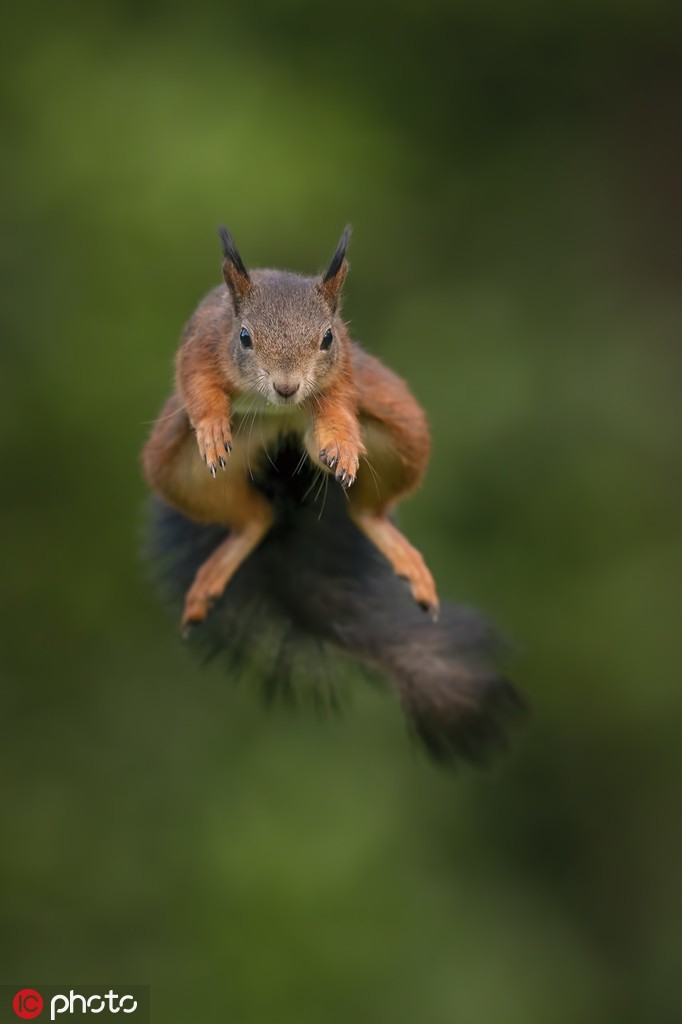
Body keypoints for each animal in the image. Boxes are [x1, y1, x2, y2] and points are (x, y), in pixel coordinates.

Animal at [139, 228, 520, 765]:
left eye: (327, 338)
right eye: (244, 337)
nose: (286, 387)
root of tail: (281, 434)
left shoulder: (343, 375)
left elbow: (338, 405)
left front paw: (339, 441)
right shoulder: (201, 347)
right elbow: (200, 387)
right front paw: (212, 426)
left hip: (403, 426)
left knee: (364, 508)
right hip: (174, 467)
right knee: (254, 518)